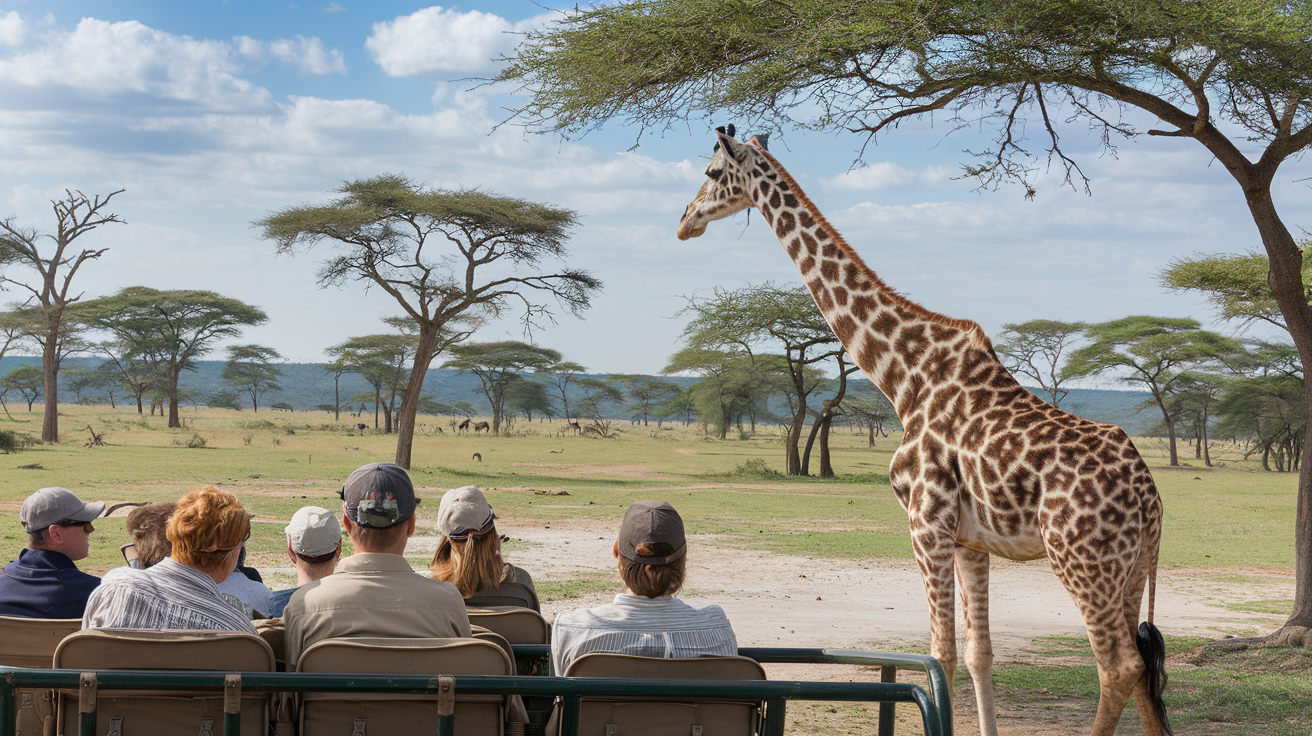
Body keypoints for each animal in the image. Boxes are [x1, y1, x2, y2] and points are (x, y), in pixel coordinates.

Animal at [682, 127, 1175, 734]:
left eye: (709, 173)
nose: (684, 221)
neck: (903, 376)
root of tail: (1149, 497)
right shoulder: (969, 539)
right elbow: (979, 652)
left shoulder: (925, 524)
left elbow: (939, 654)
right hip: (1131, 570)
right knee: (1144, 676)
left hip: (1083, 562)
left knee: (1118, 667)